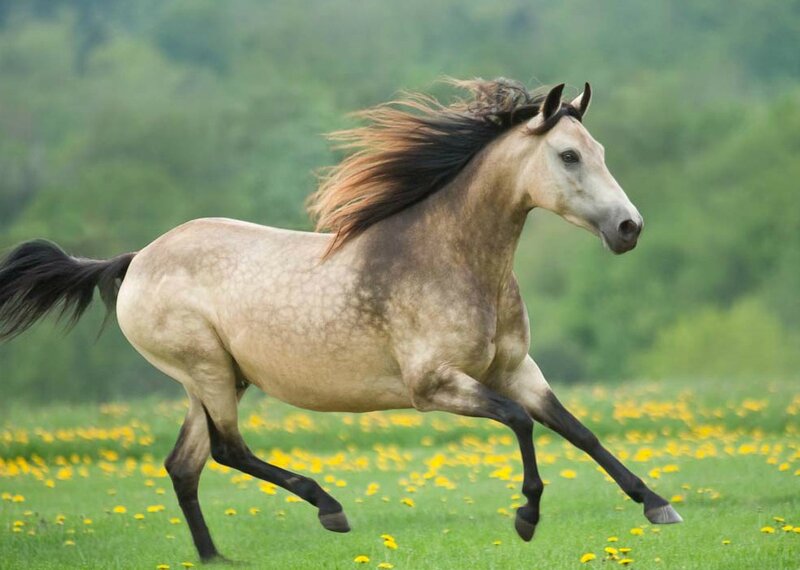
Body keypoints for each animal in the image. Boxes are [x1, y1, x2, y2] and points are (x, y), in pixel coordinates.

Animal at [0, 78, 682, 562]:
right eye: (568, 156)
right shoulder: (434, 386)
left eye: (599, 152)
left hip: (213, 381)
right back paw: (329, 507)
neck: (452, 260)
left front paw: (657, 504)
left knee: (185, 465)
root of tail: (137, 258)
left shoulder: (516, 369)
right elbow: (519, 422)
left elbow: (577, 430)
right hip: (209, 372)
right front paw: (526, 518)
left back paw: (217, 557)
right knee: (226, 450)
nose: (630, 228)